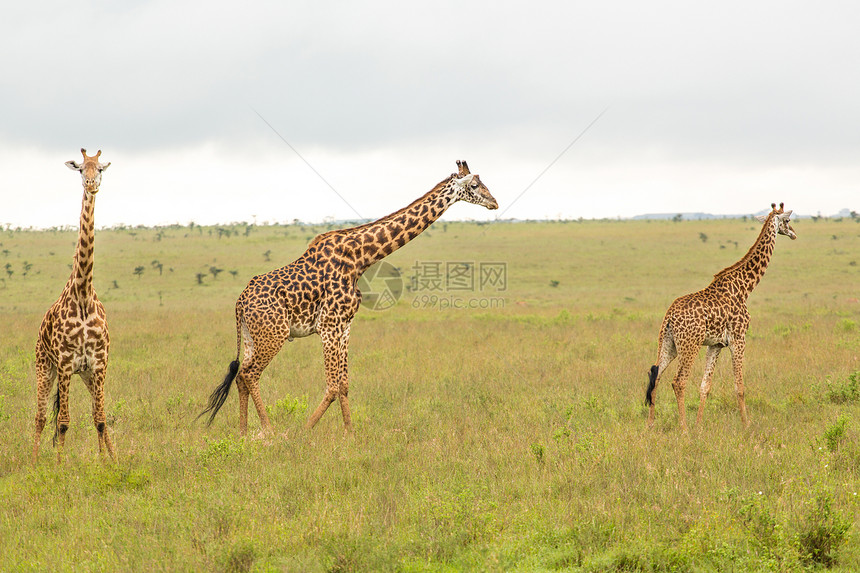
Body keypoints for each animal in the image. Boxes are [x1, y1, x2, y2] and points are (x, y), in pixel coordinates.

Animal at [31, 149, 114, 464]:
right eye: (80, 168)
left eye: (100, 168)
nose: (91, 184)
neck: (83, 296)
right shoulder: (66, 364)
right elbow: (63, 422)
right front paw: (58, 466)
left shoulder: (99, 364)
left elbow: (100, 419)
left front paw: (106, 463)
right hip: (45, 366)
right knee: (41, 417)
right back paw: (33, 462)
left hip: (87, 375)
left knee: (99, 413)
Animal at [199, 159, 498, 432]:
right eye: (474, 185)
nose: (494, 202)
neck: (360, 258)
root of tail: (240, 302)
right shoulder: (329, 325)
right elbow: (332, 386)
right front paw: (304, 431)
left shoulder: (345, 326)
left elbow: (343, 384)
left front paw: (349, 435)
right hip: (274, 334)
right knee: (251, 374)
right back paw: (269, 432)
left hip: (252, 336)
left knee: (241, 375)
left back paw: (244, 432)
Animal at [644, 203, 792, 432]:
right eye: (788, 220)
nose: (794, 233)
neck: (744, 288)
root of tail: (669, 316)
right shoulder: (739, 338)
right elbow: (739, 386)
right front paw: (746, 424)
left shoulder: (716, 344)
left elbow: (705, 386)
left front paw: (699, 426)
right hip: (690, 344)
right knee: (678, 381)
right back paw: (683, 428)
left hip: (668, 343)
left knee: (656, 376)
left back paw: (651, 425)